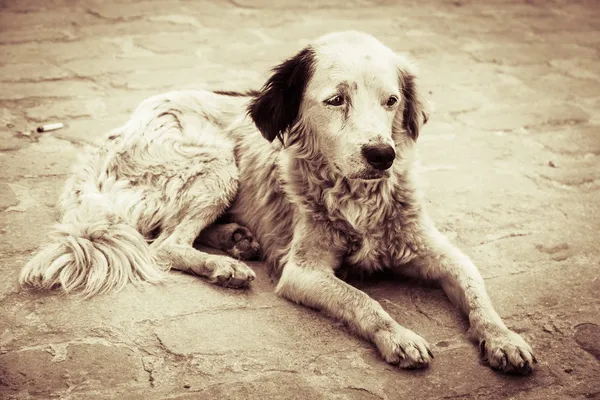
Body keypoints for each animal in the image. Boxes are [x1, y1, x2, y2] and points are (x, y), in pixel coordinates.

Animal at [18, 31, 536, 376]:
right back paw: (224, 265)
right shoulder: (303, 272)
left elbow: (477, 293)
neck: (359, 199)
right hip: (216, 162)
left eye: (391, 101)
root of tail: (111, 135)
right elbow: (363, 300)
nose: (382, 155)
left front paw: (505, 340)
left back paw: (236, 239)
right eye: (336, 100)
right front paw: (400, 336)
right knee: (164, 244)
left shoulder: (441, 252)